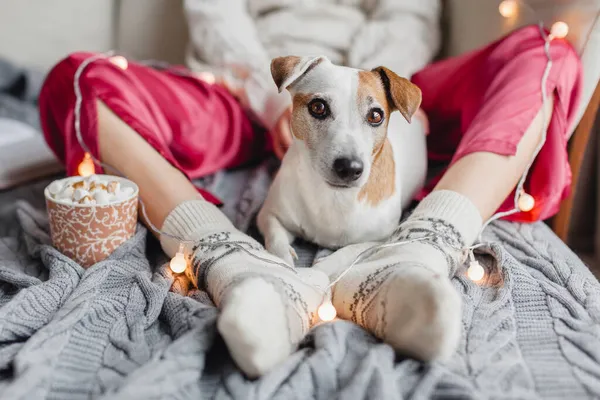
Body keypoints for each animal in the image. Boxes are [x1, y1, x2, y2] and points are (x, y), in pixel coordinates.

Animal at [258, 54, 426, 266]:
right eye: (318, 107)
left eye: (375, 116)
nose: (349, 168)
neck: (333, 196)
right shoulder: (269, 215)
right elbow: (277, 243)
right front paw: (284, 263)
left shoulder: (376, 241)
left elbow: (338, 258)